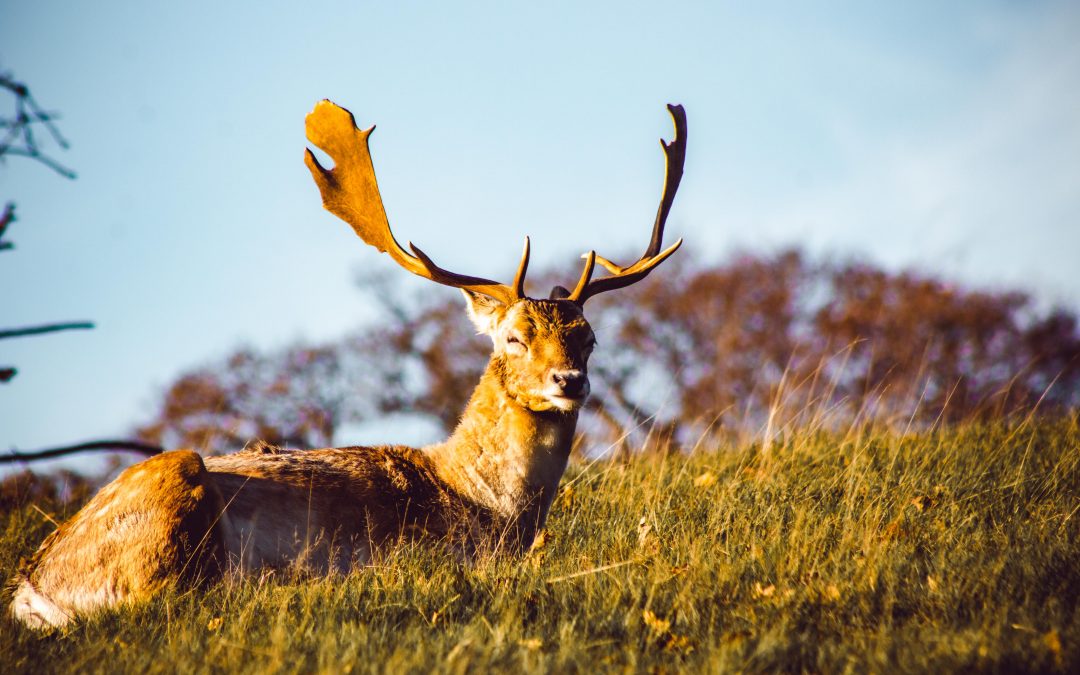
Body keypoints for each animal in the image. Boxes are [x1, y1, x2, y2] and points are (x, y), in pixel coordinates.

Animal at [8, 101, 686, 630]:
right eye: (515, 338)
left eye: (588, 338)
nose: (569, 381)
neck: (483, 507)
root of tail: (34, 589)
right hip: (173, 497)